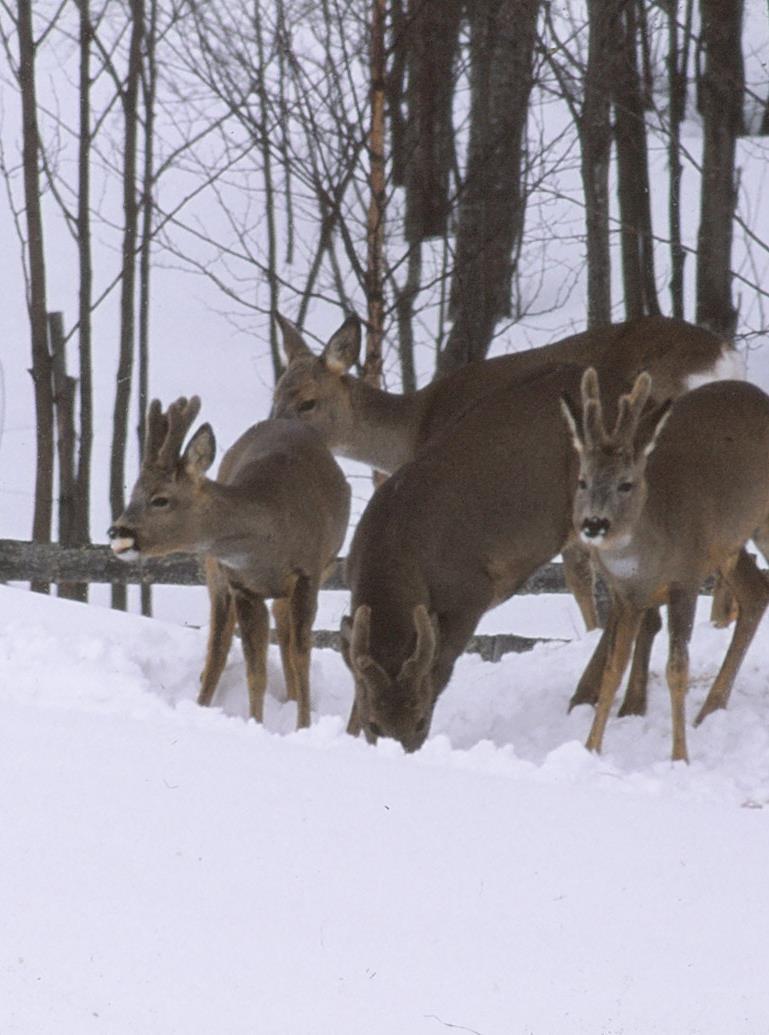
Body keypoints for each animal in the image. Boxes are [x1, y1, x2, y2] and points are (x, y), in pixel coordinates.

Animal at [107, 395, 349, 728]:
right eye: (132, 492)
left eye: (160, 499)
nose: (118, 531)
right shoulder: (240, 586)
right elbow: (254, 670)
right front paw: (256, 724)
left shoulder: (308, 574)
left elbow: (302, 657)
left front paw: (303, 725)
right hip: (215, 572)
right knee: (219, 645)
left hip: (326, 566)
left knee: (281, 625)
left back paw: (292, 699)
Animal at [273, 310, 741, 629]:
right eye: (278, 392)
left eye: (308, 402)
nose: (271, 430)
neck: (415, 424)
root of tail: (721, 360)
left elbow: (576, 574)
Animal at [339, 364, 645, 753]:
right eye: (374, 725)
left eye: (421, 721)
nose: (403, 751)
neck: (396, 548)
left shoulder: (470, 591)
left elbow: (440, 670)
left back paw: (590, 697)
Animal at [558, 370, 769, 761]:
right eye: (583, 481)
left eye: (626, 484)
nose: (594, 524)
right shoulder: (625, 596)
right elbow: (614, 669)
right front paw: (590, 748)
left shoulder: (686, 577)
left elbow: (677, 670)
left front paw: (679, 757)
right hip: (729, 544)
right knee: (756, 593)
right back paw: (710, 710)